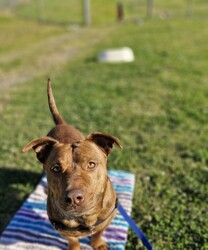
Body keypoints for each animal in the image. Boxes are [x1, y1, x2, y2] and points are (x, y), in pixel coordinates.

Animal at [22, 79, 122, 249]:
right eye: (56, 168)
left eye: (91, 164)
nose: (74, 198)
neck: (84, 218)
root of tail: (61, 124)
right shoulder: (61, 229)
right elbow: (72, 239)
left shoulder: (109, 218)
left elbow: (98, 232)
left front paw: (97, 243)